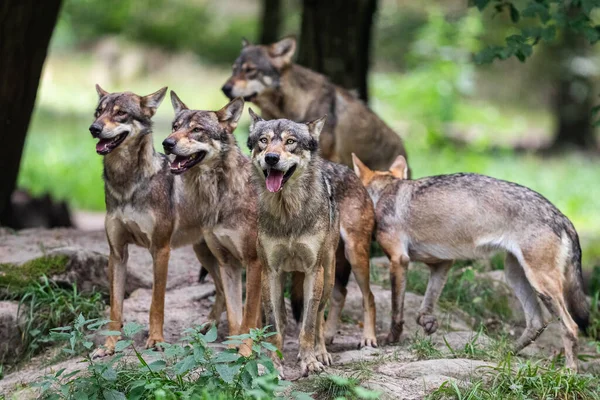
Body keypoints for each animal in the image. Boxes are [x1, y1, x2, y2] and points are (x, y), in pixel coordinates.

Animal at [89, 86, 220, 358]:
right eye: (99, 112)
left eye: (121, 113)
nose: (93, 128)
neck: (126, 185)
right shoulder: (117, 253)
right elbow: (115, 309)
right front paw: (109, 347)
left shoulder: (160, 250)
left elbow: (156, 303)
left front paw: (156, 341)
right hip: (206, 255)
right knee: (223, 290)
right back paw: (209, 326)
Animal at [161, 94, 262, 350]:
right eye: (175, 127)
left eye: (197, 130)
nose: (167, 143)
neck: (217, 194)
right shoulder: (229, 263)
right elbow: (236, 314)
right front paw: (232, 348)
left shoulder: (255, 263)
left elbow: (249, 316)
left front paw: (246, 351)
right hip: (205, 255)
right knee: (220, 293)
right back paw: (208, 325)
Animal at [352, 154, 592, 372]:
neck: (383, 193)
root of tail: (562, 217)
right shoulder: (442, 263)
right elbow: (425, 305)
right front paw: (428, 323)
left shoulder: (399, 260)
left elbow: (397, 311)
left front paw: (390, 339)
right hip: (515, 276)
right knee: (536, 323)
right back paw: (503, 354)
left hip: (540, 284)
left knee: (571, 327)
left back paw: (570, 371)